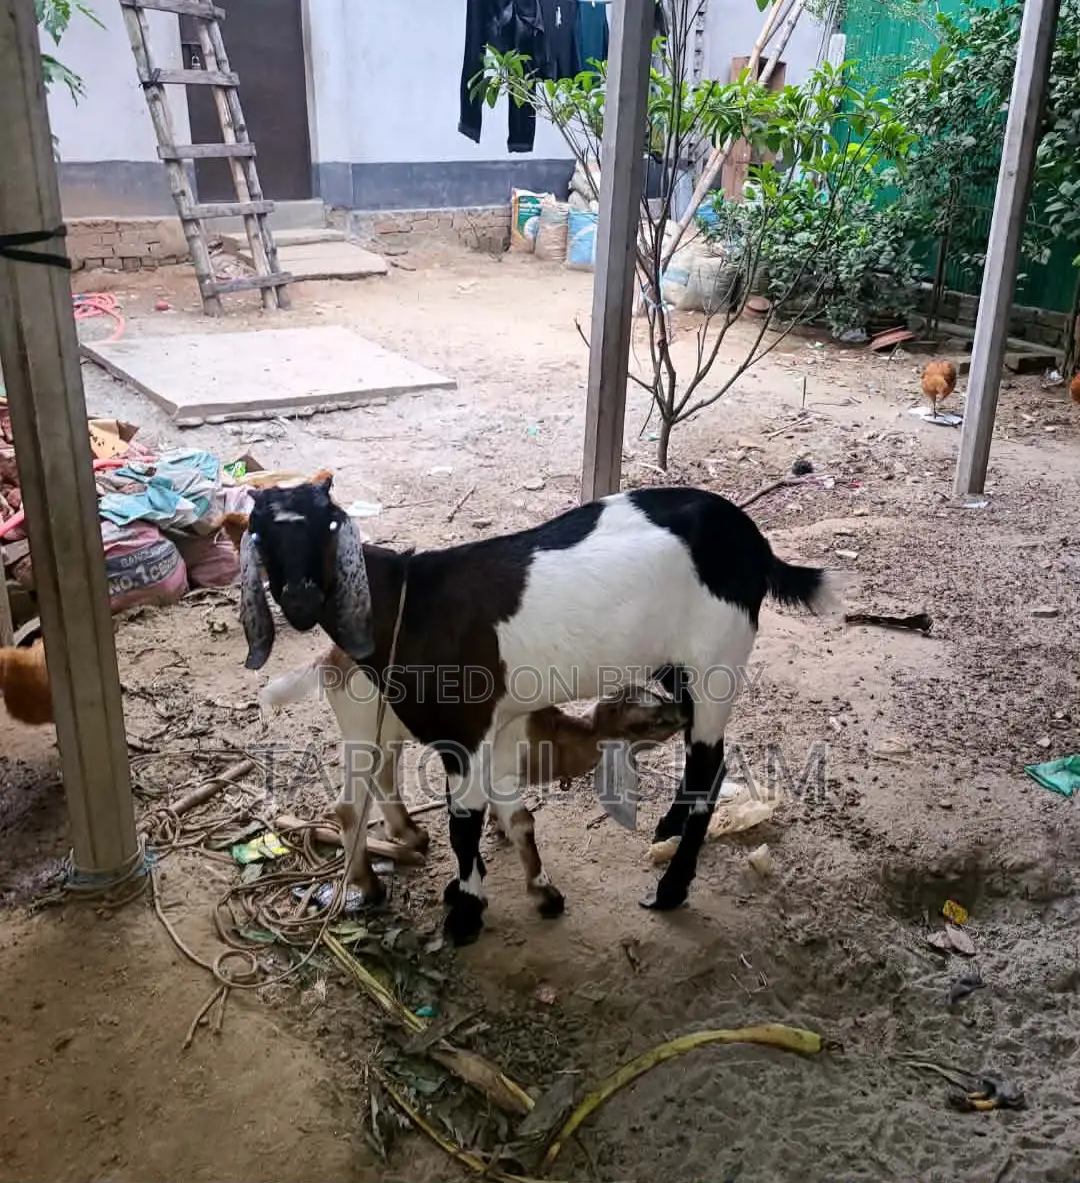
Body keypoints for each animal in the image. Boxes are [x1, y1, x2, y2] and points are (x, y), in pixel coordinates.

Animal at [238, 475, 841, 946]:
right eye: (260, 532)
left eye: (329, 524)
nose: (299, 601)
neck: (410, 607)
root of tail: (751, 537)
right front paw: (467, 892)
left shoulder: (467, 731)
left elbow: (464, 825)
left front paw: (466, 914)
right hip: (675, 665)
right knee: (705, 763)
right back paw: (666, 830)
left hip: (719, 659)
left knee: (706, 764)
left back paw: (671, 889)